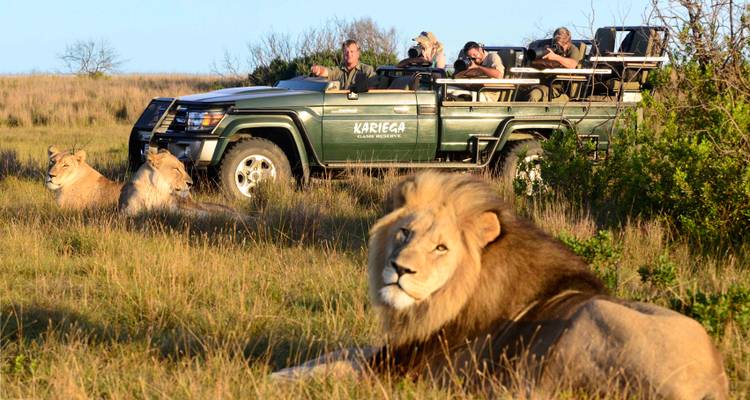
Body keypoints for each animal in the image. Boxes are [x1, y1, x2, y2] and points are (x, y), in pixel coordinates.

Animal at [275, 172, 728, 399]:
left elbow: (339, 368)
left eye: (441, 247)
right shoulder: (395, 350)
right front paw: (283, 370)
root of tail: (713, 383)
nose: (399, 269)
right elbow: (337, 353)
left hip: (590, 324)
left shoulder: (413, 371)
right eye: (404, 232)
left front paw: (276, 379)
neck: (438, 305)